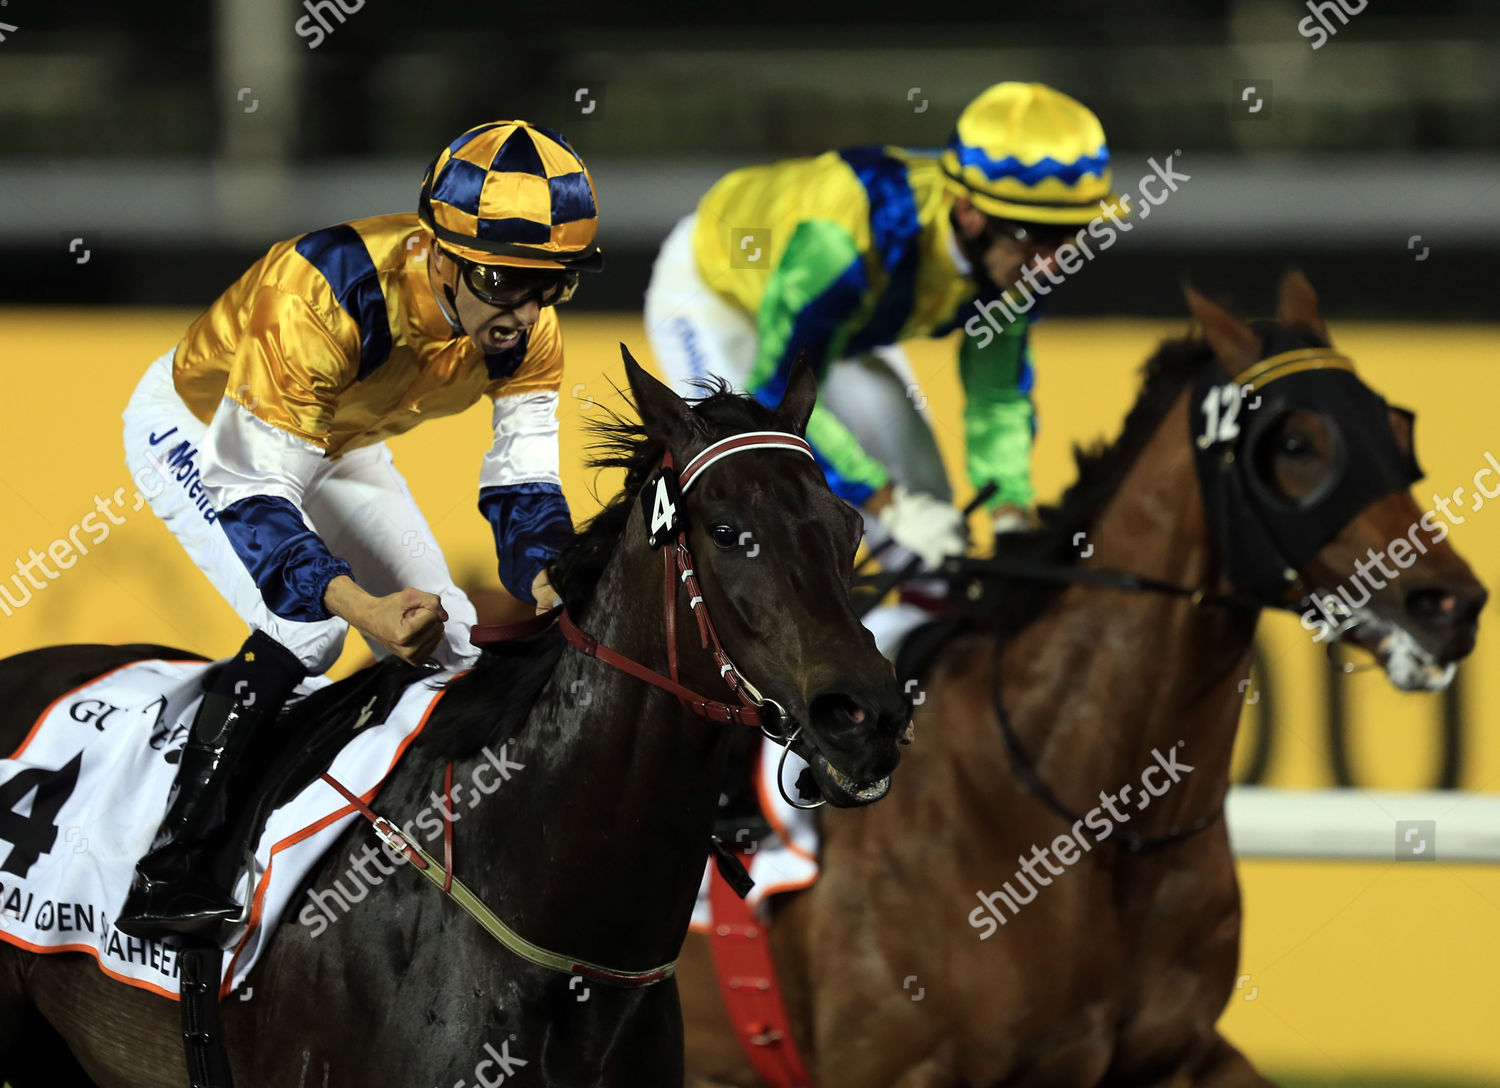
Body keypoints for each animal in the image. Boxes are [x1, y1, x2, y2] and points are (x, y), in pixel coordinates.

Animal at [678, 273, 1488, 1086]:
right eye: (1296, 443)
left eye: (1396, 428)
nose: (1450, 604)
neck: (1098, 820)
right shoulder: (892, 1063)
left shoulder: (1178, 1051)